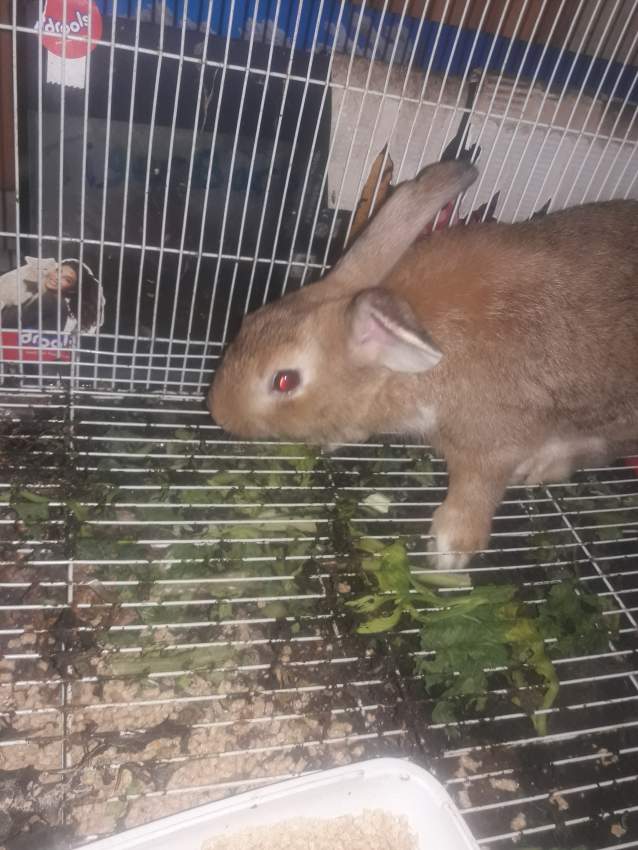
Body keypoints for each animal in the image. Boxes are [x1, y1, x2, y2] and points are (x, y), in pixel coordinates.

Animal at [208, 159, 638, 569]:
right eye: (249, 321)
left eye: (284, 381)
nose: (219, 412)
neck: (399, 371)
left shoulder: (492, 439)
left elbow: (478, 487)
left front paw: (449, 550)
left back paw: (539, 467)